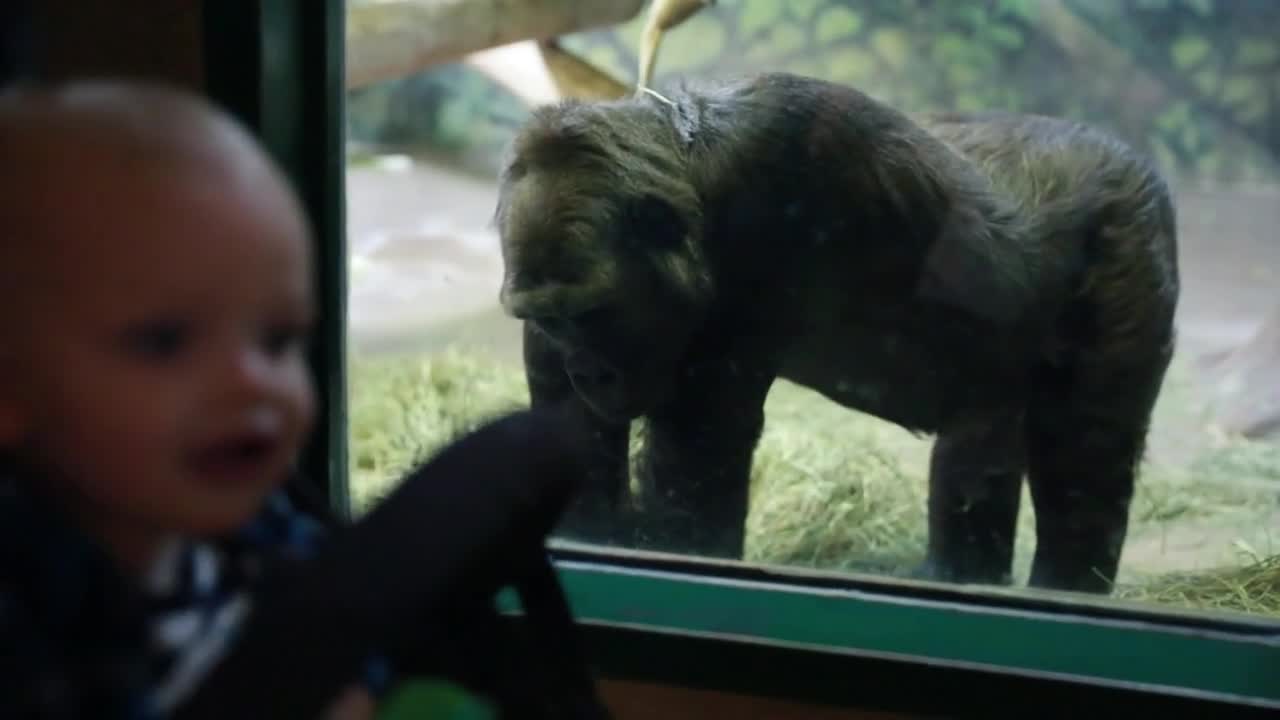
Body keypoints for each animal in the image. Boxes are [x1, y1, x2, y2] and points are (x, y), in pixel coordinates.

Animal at [488, 70, 1177, 591]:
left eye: (591, 315)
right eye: (548, 319)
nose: (588, 371)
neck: (691, 165)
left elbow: (700, 451)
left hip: (1132, 232)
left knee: (1085, 454)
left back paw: (1065, 583)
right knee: (985, 445)